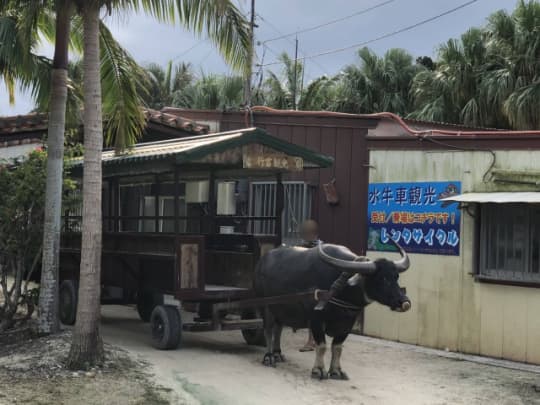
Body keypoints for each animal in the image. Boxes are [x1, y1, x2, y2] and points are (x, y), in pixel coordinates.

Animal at [255, 241, 412, 380]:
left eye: (396, 276)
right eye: (381, 278)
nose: (405, 302)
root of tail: (262, 262)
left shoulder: (348, 324)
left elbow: (337, 347)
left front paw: (336, 371)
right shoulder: (316, 319)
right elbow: (322, 346)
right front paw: (318, 370)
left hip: (281, 309)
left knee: (278, 329)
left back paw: (277, 354)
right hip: (266, 305)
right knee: (268, 330)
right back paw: (269, 357)